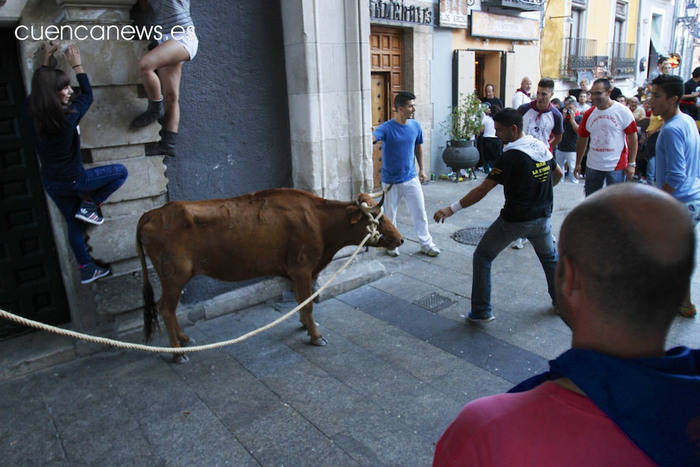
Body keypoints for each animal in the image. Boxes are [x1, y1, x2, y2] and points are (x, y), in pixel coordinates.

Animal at [135, 187, 404, 362]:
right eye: (377, 219)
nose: (401, 239)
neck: (319, 222)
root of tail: (155, 212)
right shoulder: (301, 267)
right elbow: (307, 304)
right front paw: (315, 335)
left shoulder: (299, 271)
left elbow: (301, 301)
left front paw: (304, 326)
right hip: (174, 275)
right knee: (165, 308)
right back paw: (177, 353)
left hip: (175, 277)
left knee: (169, 309)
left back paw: (183, 339)